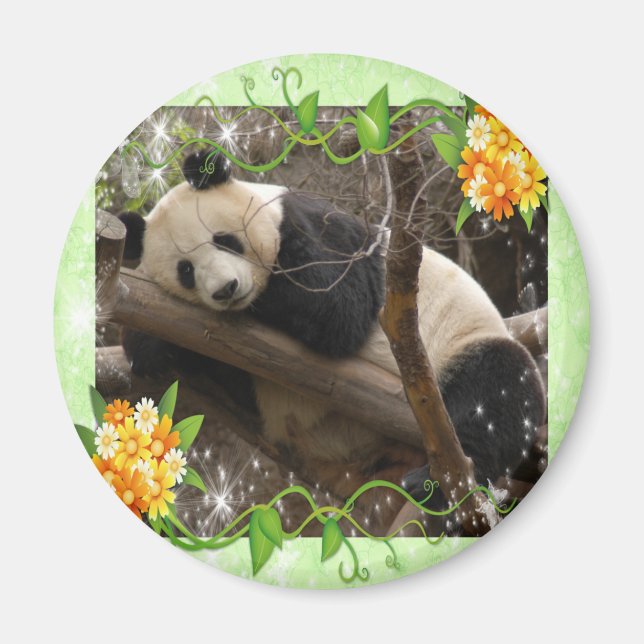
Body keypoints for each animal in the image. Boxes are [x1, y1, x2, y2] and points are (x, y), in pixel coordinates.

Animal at [118, 151, 546, 532]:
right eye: (186, 270)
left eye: (224, 241)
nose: (226, 289)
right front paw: (148, 345)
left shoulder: (315, 226)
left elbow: (337, 306)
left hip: (466, 341)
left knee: (498, 392)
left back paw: (436, 484)